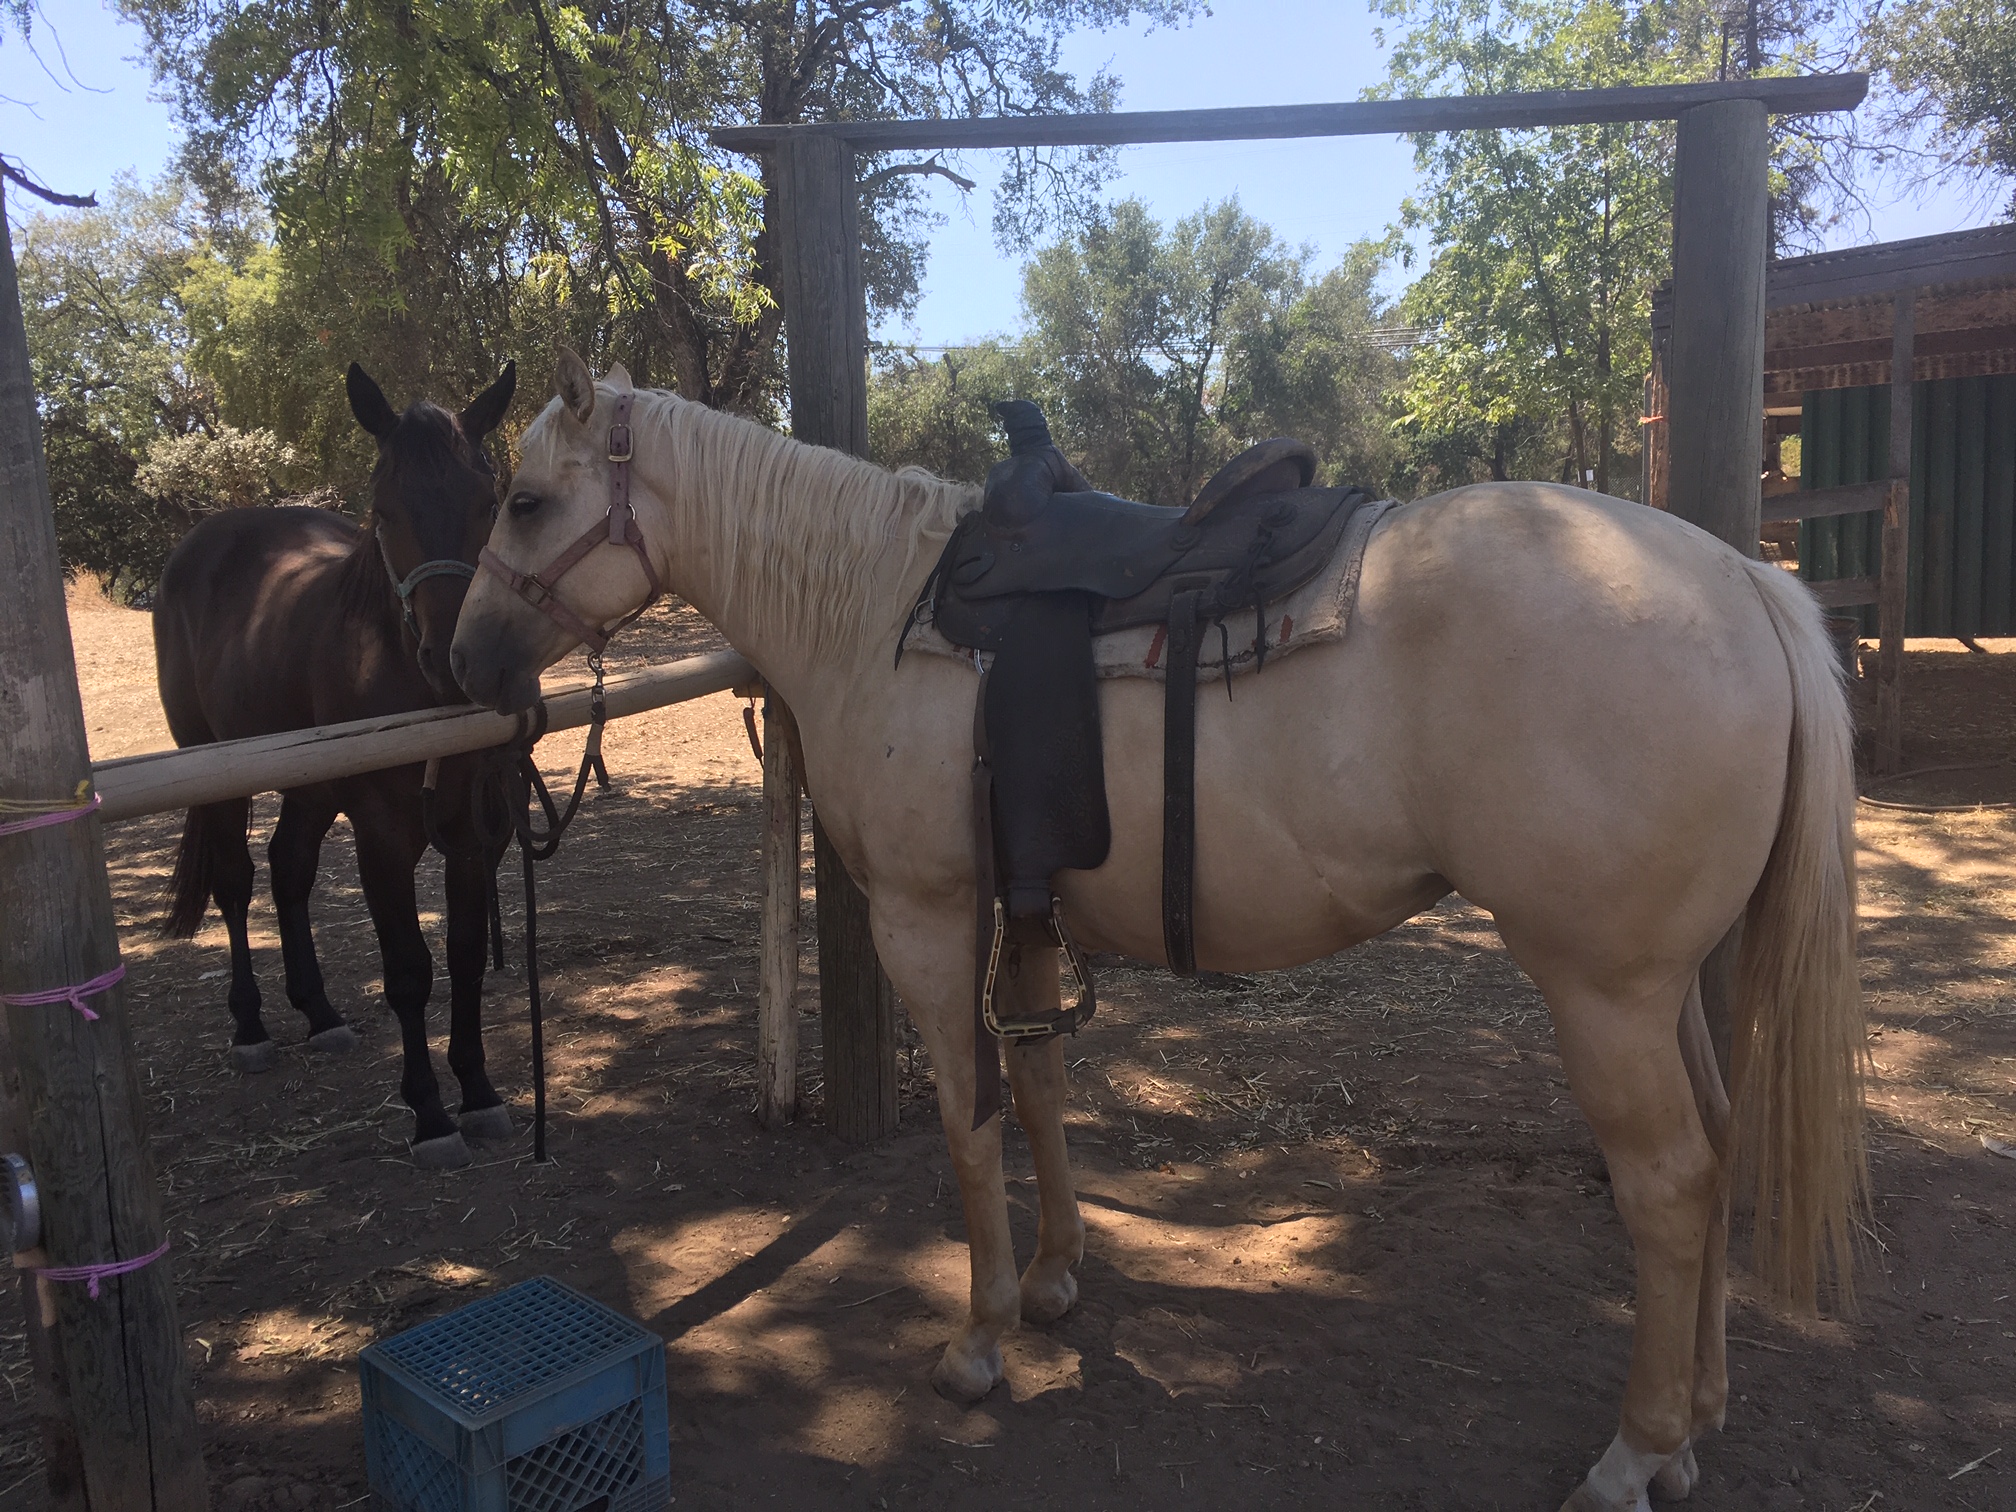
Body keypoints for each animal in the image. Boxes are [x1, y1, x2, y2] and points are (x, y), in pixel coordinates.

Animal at [154, 362, 520, 1170]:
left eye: (490, 503)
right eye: (382, 512)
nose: (453, 661)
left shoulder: (471, 831)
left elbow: (466, 954)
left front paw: (479, 1092)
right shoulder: (382, 834)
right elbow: (410, 971)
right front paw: (431, 1116)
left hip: (313, 787)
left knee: (288, 866)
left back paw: (319, 1014)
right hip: (214, 769)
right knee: (236, 881)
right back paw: (251, 1028)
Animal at [449, 353, 1867, 1512]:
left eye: (524, 504)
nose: (462, 655)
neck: (874, 613)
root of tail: (1745, 579)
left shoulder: (929, 918)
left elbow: (969, 1124)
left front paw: (977, 1341)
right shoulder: (1024, 911)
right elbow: (1039, 1091)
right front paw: (1053, 1282)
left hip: (1604, 993)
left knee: (1670, 1184)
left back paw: (1633, 1455)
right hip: (1662, 987)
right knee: (1721, 1146)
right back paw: (1695, 1423)